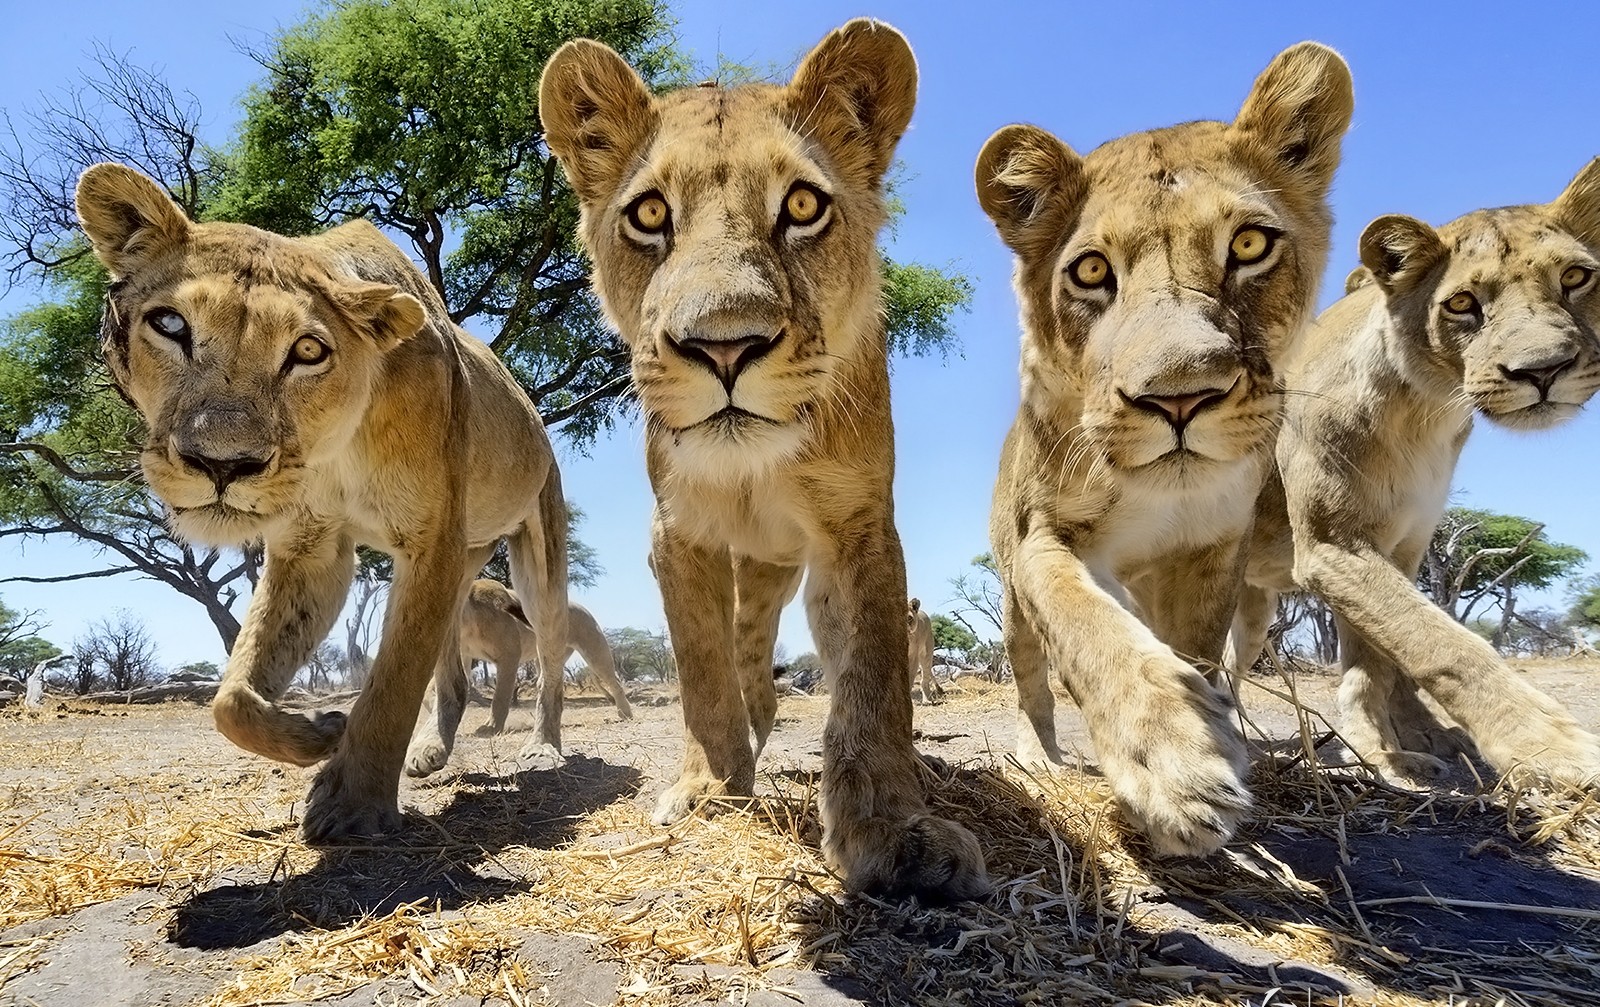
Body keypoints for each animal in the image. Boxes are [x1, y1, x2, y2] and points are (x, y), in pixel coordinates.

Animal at [75, 163, 570, 841]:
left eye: (308, 351)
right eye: (171, 325)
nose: (222, 464)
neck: (337, 444)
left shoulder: (430, 542)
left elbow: (393, 682)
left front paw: (351, 804)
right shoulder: (314, 547)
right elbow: (232, 697)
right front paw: (319, 733)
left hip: (534, 554)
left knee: (547, 649)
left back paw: (543, 746)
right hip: (461, 566)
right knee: (452, 670)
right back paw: (429, 750)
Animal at [538, 19, 987, 899]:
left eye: (803, 205)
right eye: (649, 213)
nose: (725, 346)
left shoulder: (859, 525)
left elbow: (871, 679)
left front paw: (892, 827)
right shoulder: (676, 534)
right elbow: (702, 668)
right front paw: (711, 787)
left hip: (784, 569)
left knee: (766, 640)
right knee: (740, 649)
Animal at [975, 43, 1354, 856]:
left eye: (1249, 244)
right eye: (1091, 270)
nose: (1179, 397)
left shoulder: (1211, 550)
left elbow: (1197, 650)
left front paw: (1208, 733)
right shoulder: (1045, 537)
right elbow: (1087, 625)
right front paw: (1177, 761)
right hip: (1010, 592)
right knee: (1029, 674)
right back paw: (1039, 755)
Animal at [1230, 159, 1600, 786]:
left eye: (1576, 276)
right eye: (1463, 303)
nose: (1543, 370)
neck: (1427, 411)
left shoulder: (1402, 548)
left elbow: (1381, 662)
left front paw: (1399, 748)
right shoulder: (1333, 546)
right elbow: (1442, 643)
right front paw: (1551, 745)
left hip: (1253, 605)